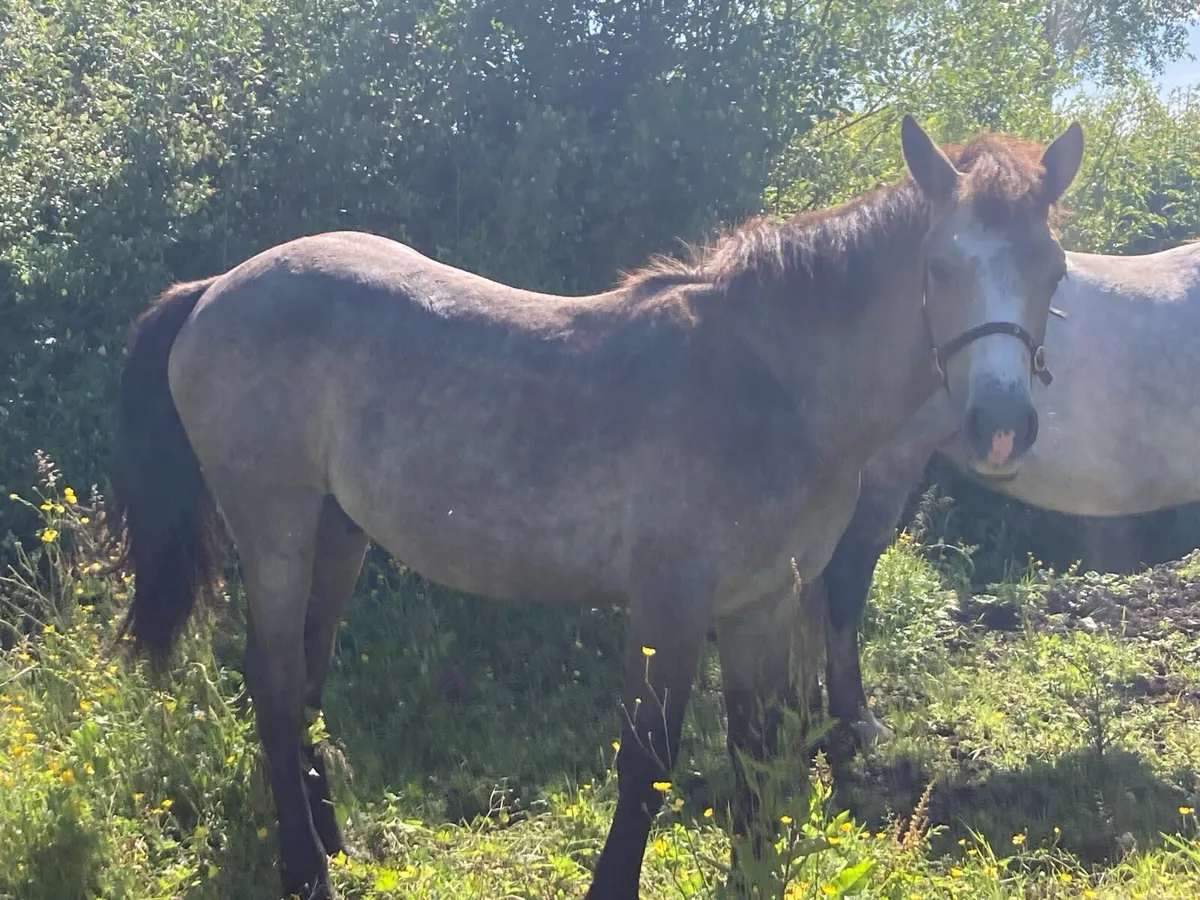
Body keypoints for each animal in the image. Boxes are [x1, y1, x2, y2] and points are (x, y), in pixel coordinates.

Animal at [106, 115, 1082, 899]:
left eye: (1053, 270)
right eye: (939, 266)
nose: (1000, 427)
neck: (770, 384)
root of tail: (213, 289)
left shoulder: (763, 604)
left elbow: (757, 755)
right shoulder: (669, 602)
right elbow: (646, 765)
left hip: (336, 532)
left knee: (306, 681)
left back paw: (335, 844)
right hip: (272, 522)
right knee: (273, 685)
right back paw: (308, 873)